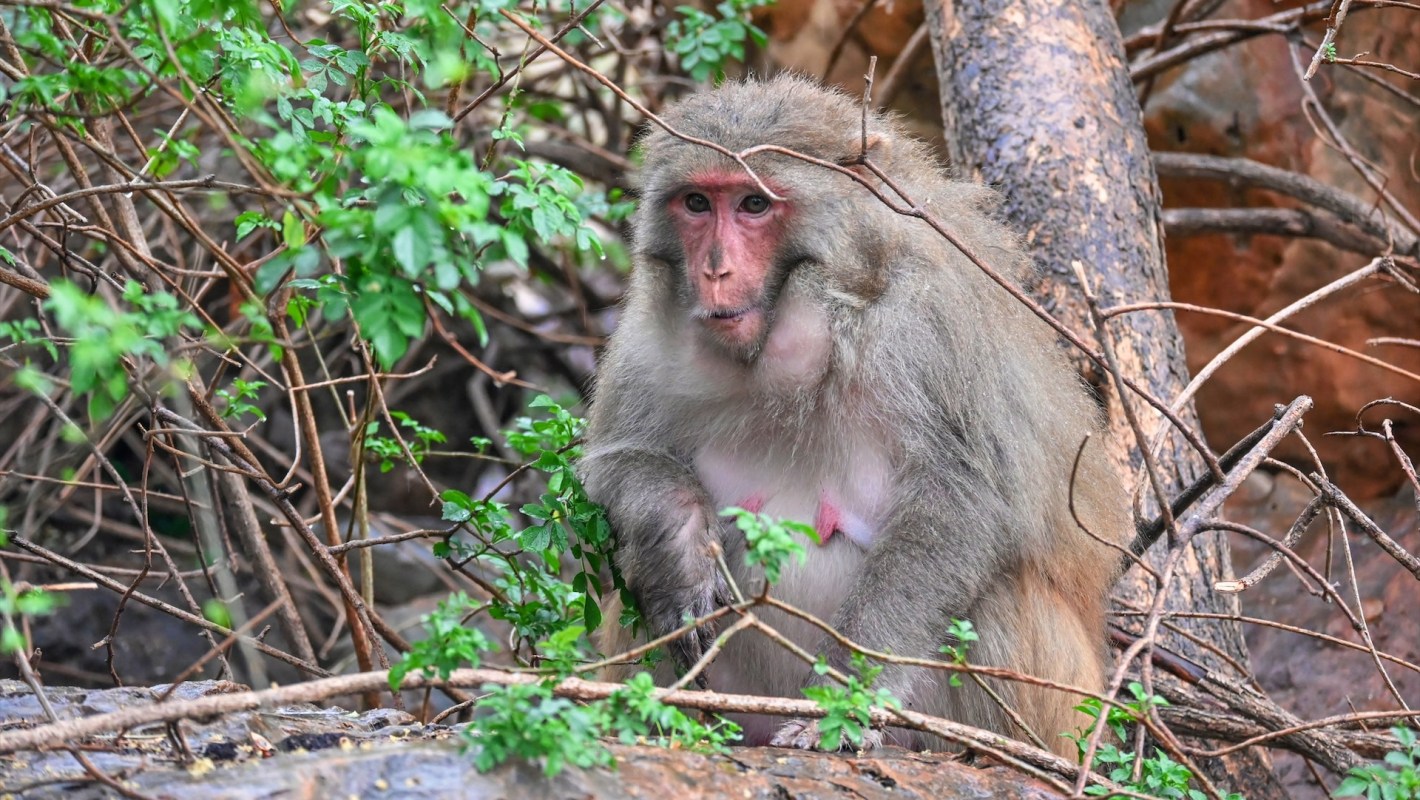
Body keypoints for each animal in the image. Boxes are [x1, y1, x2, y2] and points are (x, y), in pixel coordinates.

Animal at [580, 75, 1132, 756]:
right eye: (697, 203)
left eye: (754, 205)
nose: (714, 270)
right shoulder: (646, 337)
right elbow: (616, 462)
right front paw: (680, 550)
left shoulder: (927, 323)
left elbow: (964, 502)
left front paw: (842, 701)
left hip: (1060, 708)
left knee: (996, 593)